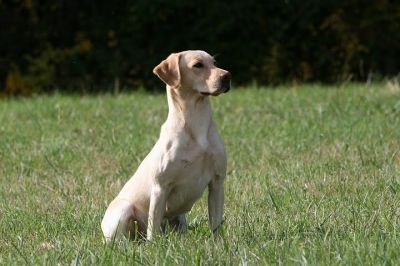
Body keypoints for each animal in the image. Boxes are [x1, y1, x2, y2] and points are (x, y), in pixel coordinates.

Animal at [101, 50, 231, 243]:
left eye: (214, 63)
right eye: (198, 65)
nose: (227, 76)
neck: (196, 123)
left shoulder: (217, 182)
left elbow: (215, 222)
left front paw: (219, 244)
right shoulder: (160, 187)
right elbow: (153, 227)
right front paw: (154, 246)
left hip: (180, 219)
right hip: (124, 210)